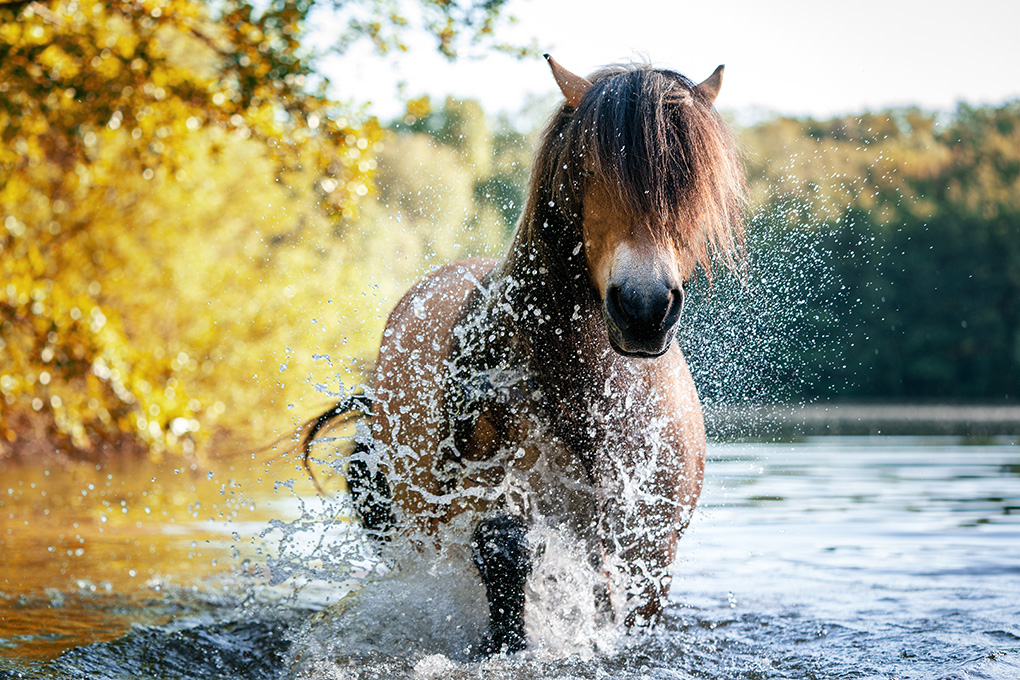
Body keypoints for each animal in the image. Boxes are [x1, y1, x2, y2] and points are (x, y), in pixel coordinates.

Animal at [302, 55, 745, 655]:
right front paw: (504, 643)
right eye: (590, 168)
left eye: (692, 179)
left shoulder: (650, 547)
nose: (643, 306)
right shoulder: (488, 500)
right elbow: (504, 550)